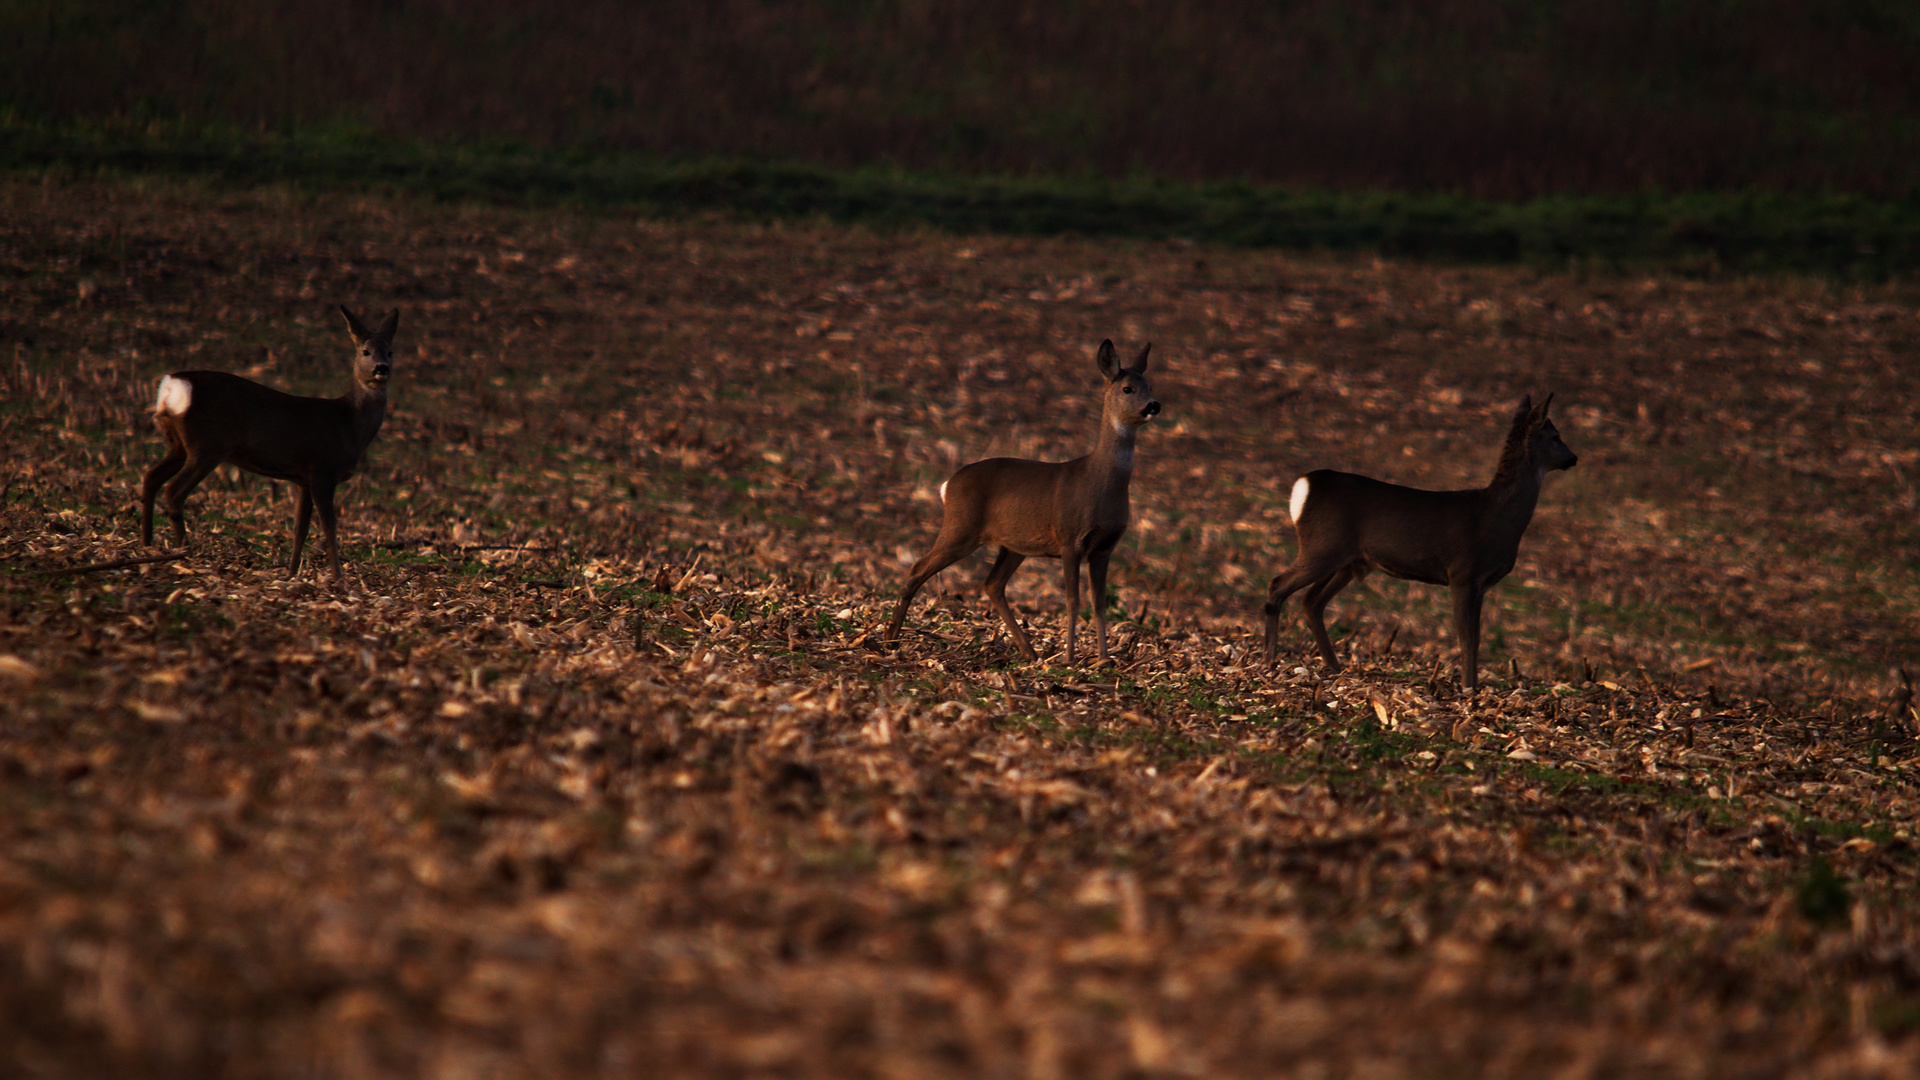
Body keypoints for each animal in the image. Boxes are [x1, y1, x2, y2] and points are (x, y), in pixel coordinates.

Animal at [143, 303, 401, 580]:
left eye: (390, 352)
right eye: (365, 351)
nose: (382, 368)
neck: (349, 423)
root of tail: (172, 386)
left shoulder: (303, 479)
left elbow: (300, 528)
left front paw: (291, 572)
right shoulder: (323, 470)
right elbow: (329, 526)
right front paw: (338, 577)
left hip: (178, 443)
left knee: (151, 478)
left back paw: (146, 544)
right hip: (208, 445)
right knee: (174, 491)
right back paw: (184, 552)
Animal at [879, 336, 1152, 661]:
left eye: (1150, 386)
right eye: (1128, 389)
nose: (1154, 405)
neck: (1099, 481)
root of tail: (947, 485)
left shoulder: (1104, 547)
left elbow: (1099, 603)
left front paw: (1104, 659)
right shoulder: (1069, 537)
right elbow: (1072, 600)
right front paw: (1070, 658)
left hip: (1013, 544)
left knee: (992, 584)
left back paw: (1030, 652)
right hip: (961, 527)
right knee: (918, 569)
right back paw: (890, 640)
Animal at [1259, 393, 1574, 687]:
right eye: (1555, 436)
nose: (1574, 457)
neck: (1497, 515)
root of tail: (1303, 486)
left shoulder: (1479, 584)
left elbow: (1476, 636)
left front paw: (1472, 685)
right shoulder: (1463, 574)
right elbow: (1466, 636)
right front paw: (1467, 688)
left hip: (1346, 561)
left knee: (1311, 602)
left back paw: (1334, 668)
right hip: (1322, 548)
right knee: (1278, 585)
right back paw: (1269, 661)